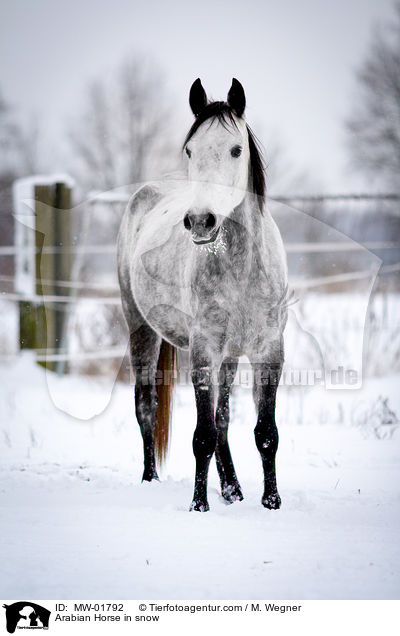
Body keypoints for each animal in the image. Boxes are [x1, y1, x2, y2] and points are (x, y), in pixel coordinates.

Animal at [117, 78, 290, 512]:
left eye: (236, 149)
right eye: (191, 150)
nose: (200, 220)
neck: (242, 267)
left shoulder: (269, 351)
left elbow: (265, 433)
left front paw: (271, 502)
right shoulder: (203, 350)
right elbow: (202, 436)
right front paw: (199, 506)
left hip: (228, 358)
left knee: (223, 418)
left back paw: (233, 489)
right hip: (140, 328)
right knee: (146, 405)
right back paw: (151, 479)